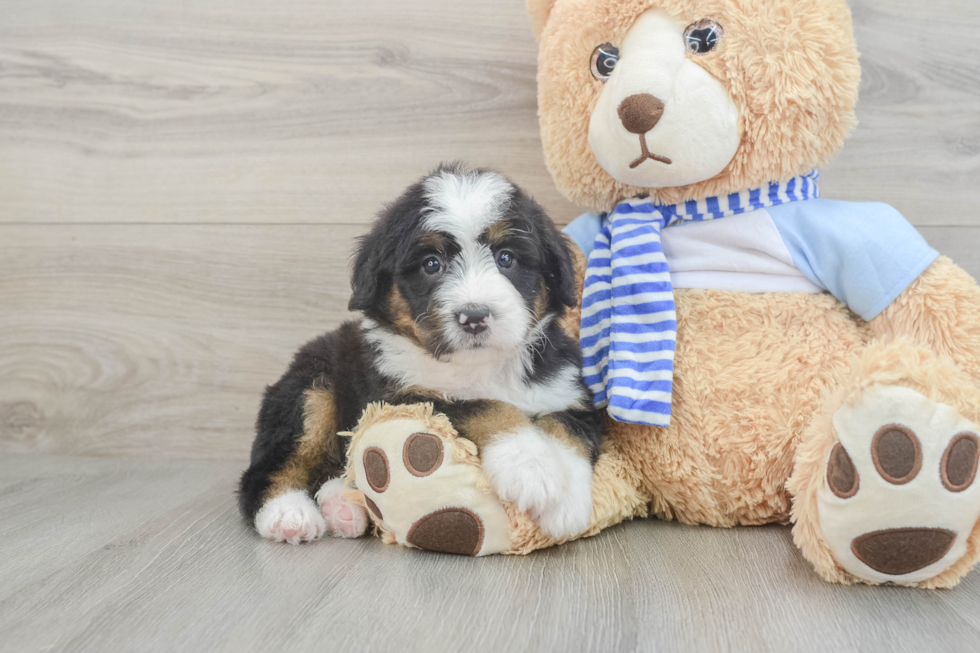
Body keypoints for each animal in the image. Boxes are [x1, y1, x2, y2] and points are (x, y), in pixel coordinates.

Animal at [237, 164, 604, 544]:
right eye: (431, 264)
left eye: (506, 258)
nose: (474, 316)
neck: (481, 366)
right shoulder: (400, 398)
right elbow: (486, 407)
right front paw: (530, 466)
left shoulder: (568, 392)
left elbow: (566, 430)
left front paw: (565, 502)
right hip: (310, 391)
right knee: (268, 469)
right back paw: (288, 514)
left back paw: (342, 507)